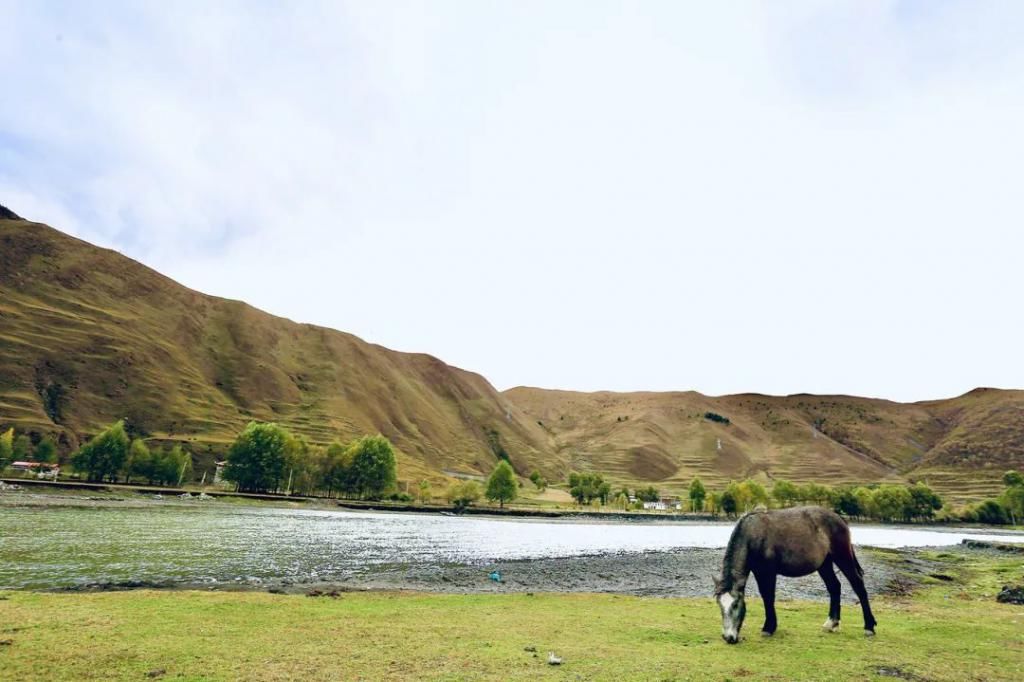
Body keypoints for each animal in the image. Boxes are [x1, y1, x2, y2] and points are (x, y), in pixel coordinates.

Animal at [716, 503, 876, 643]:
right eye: (720, 606)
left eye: (735, 605)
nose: (728, 637)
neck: (753, 534)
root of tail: (839, 518)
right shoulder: (758, 572)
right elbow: (765, 596)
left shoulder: (768, 572)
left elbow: (768, 597)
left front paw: (769, 627)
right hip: (825, 564)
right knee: (834, 587)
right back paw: (832, 623)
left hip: (842, 557)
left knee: (858, 585)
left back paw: (869, 626)